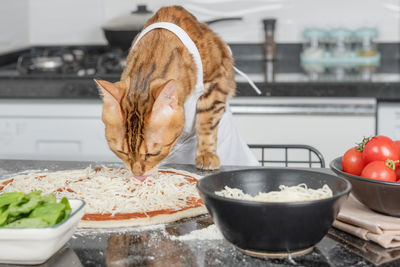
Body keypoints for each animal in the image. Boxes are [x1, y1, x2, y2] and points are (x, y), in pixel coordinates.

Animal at [94, 5, 250, 178]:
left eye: (153, 153)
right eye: (122, 152)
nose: (137, 175)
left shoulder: (218, 79)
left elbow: (207, 122)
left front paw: (206, 154)